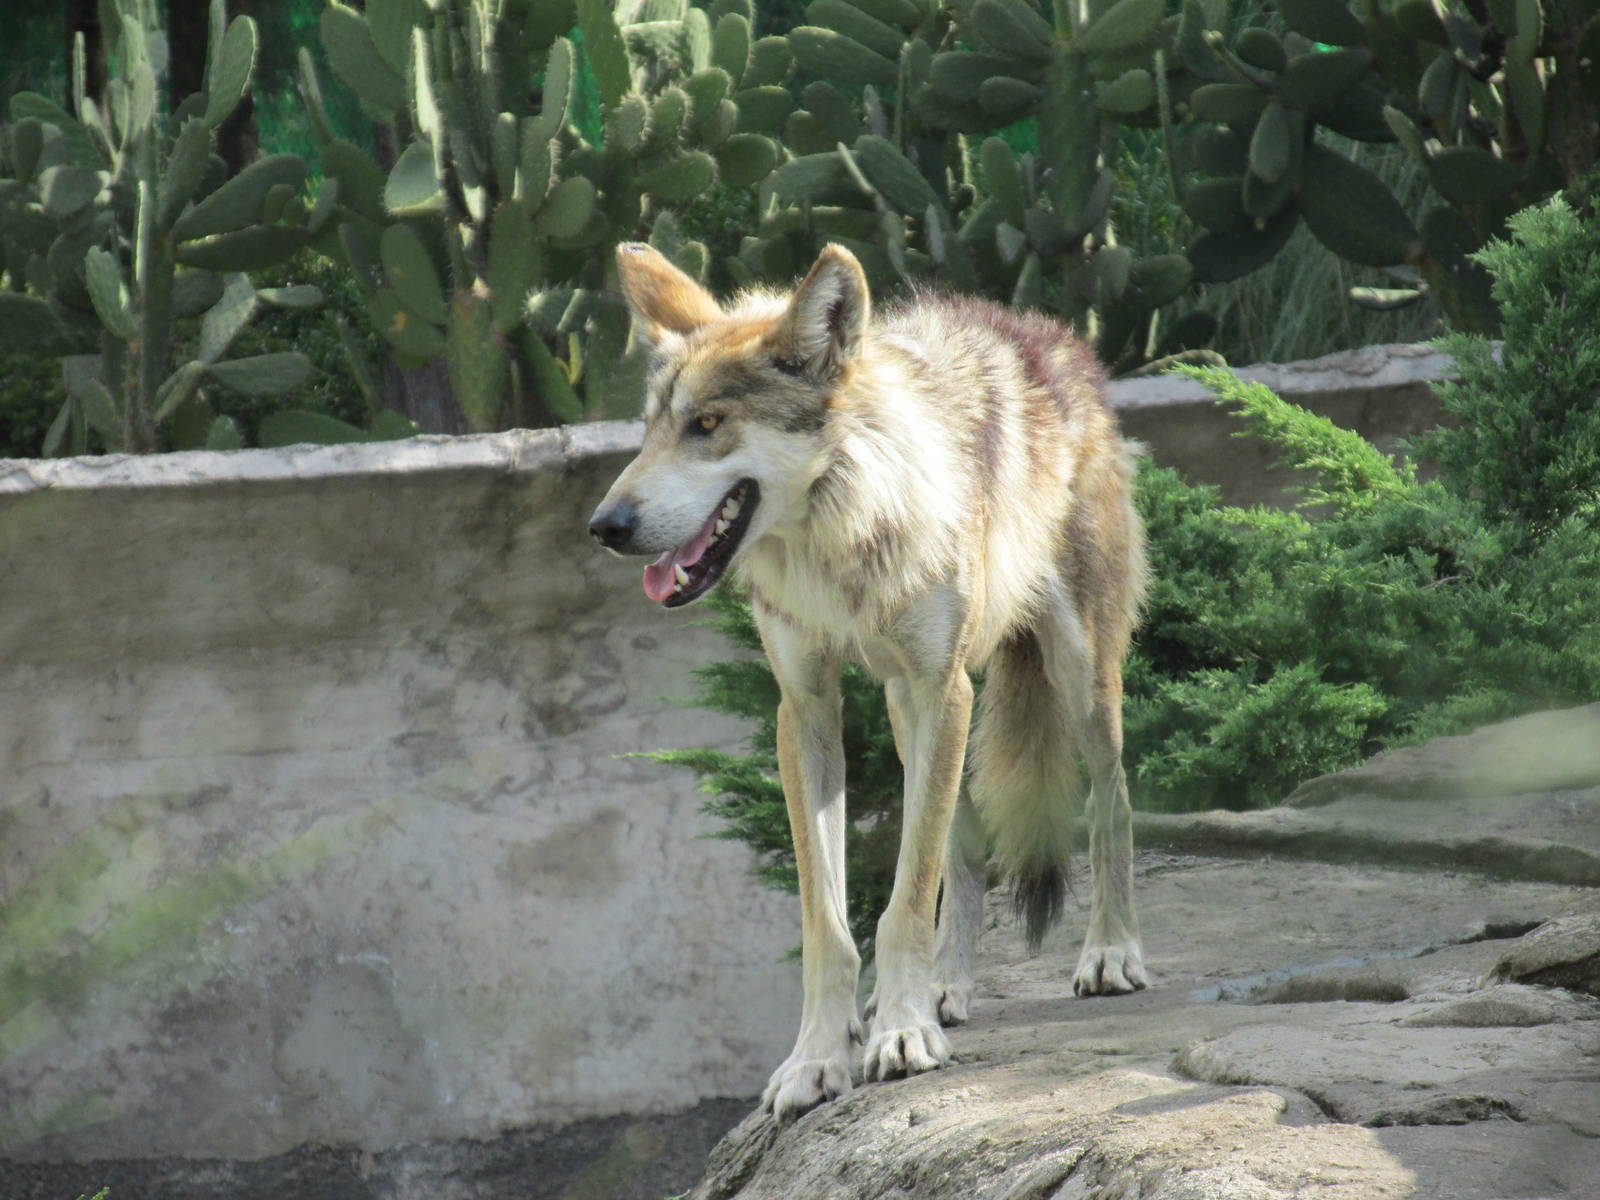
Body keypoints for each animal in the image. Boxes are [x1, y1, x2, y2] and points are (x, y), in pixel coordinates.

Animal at [589, 242, 1149, 1122]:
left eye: (707, 425)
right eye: (649, 430)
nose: (604, 526)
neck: (839, 535)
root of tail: (1040, 329)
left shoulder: (943, 687)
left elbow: (903, 899)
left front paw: (902, 1035)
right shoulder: (808, 709)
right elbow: (834, 920)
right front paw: (821, 1057)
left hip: (1073, 677)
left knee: (1113, 802)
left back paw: (1110, 952)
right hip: (907, 713)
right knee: (962, 849)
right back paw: (947, 987)